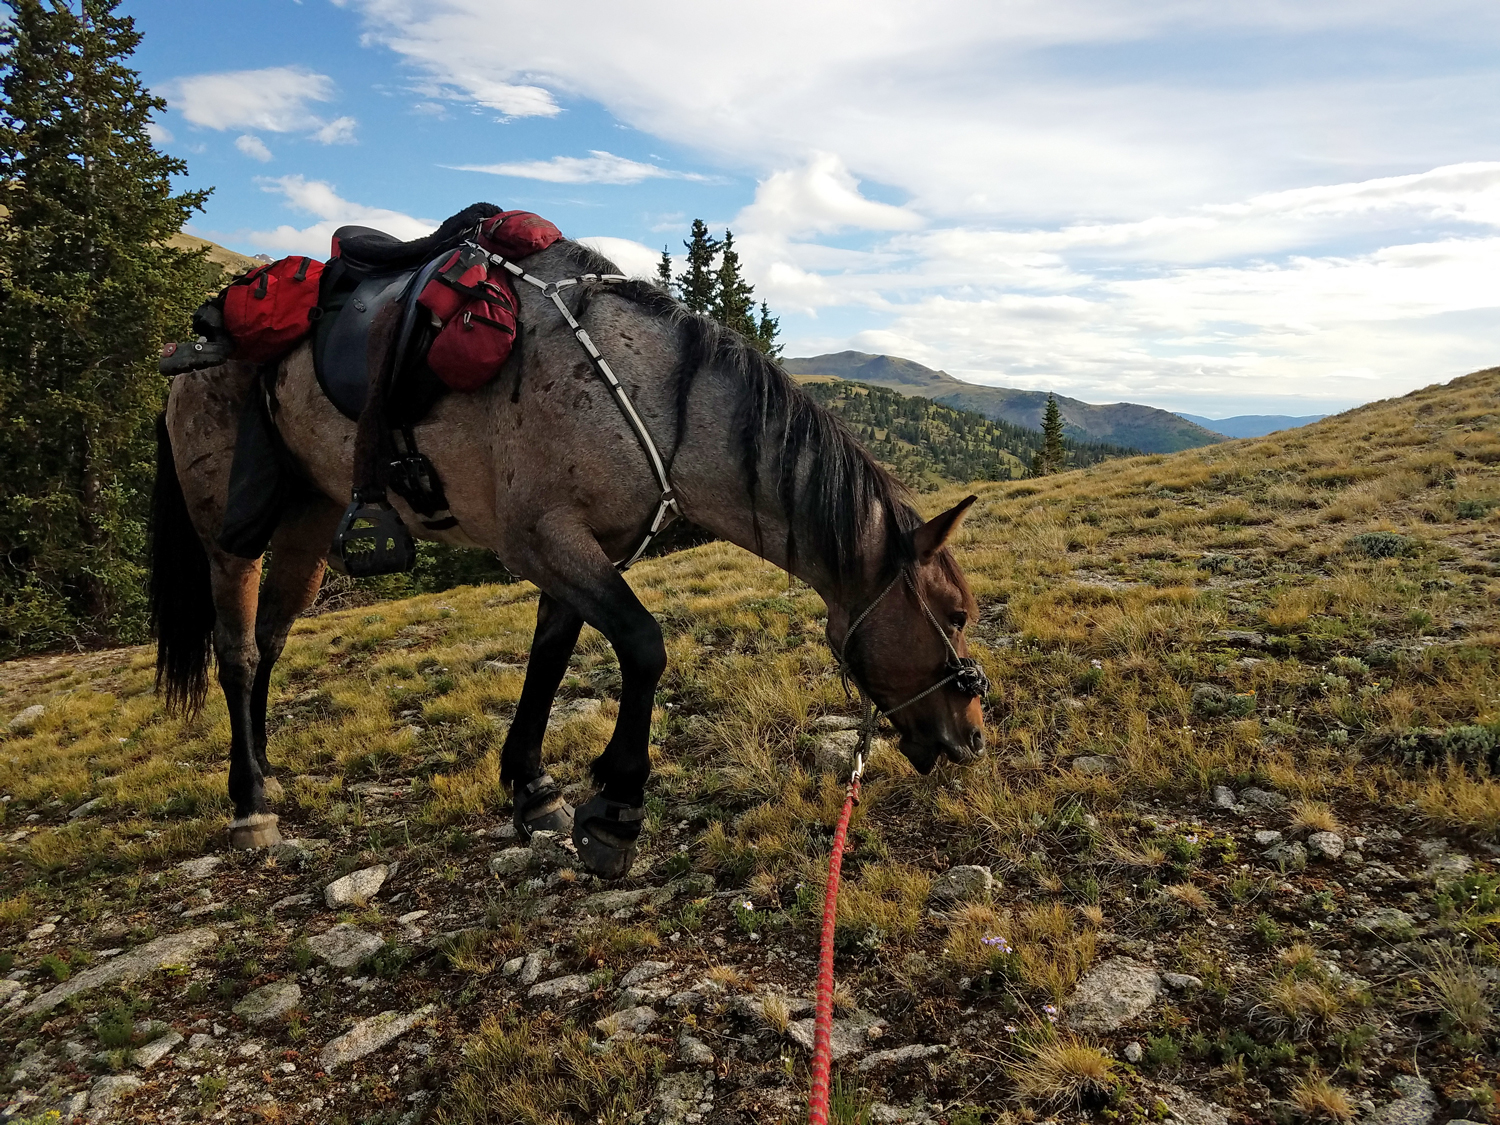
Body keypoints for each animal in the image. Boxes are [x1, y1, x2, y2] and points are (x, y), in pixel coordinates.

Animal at [148, 236, 988, 878]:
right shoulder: (544, 539)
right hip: (230, 530)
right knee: (236, 652)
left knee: (270, 640)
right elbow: (643, 645)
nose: (973, 735)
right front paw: (615, 808)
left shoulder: (580, 552)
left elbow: (549, 657)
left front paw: (532, 786)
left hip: (309, 519)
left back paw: (264, 772)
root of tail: (192, 347)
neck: (649, 397)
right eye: (954, 614)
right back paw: (250, 803)